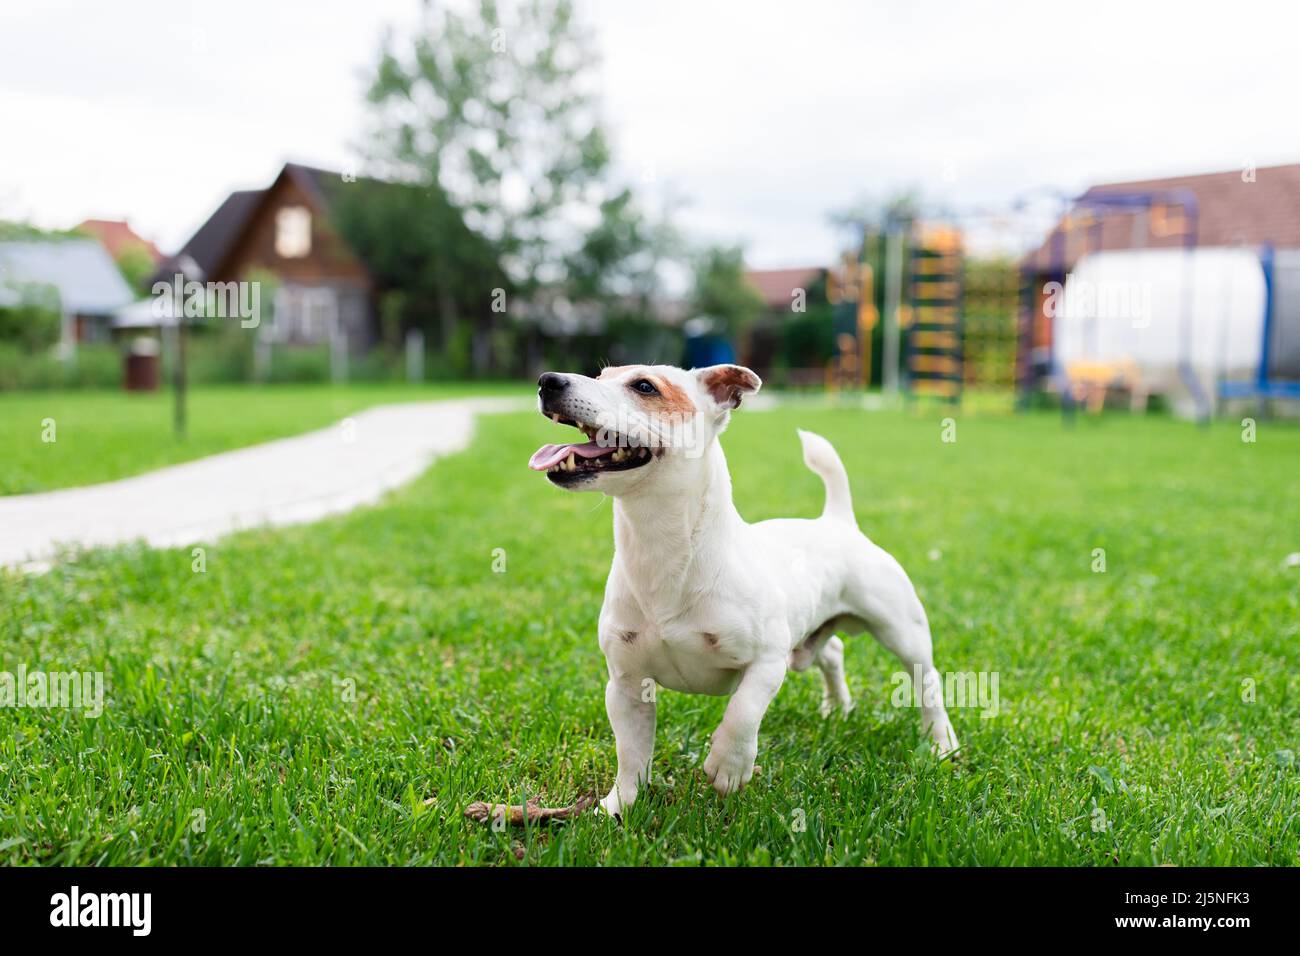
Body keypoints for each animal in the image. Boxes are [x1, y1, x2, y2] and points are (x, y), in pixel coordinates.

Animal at [525, 361, 956, 816]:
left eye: (644, 386)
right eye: (600, 375)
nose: (547, 381)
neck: (662, 551)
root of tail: (838, 521)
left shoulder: (767, 661)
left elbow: (743, 711)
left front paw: (728, 766)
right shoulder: (625, 684)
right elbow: (631, 752)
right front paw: (618, 807)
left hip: (901, 630)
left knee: (927, 683)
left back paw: (941, 743)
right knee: (833, 651)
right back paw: (838, 707)